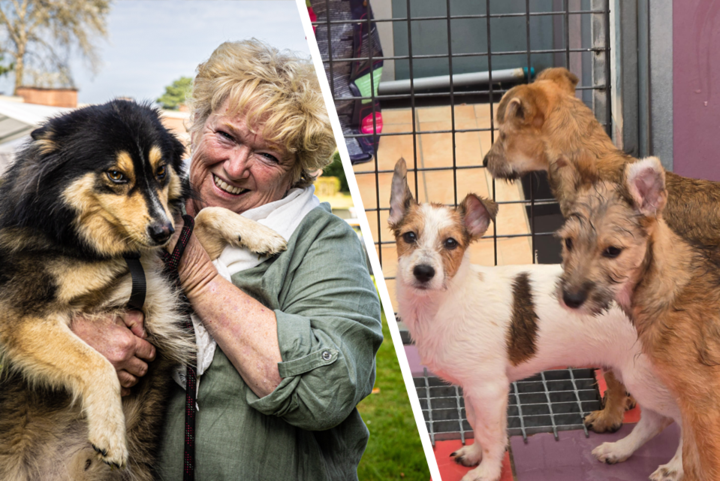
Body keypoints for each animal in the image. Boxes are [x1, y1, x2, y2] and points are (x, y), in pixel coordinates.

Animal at [0, 99, 286, 478]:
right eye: (115, 175)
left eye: (161, 171)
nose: (164, 232)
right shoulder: (18, 317)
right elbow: (97, 362)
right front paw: (111, 434)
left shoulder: (169, 264)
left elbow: (207, 212)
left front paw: (259, 234)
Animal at [556, 156, 720, 478]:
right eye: (568, 242)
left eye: (612, 251)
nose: (570, 298)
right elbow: (693, 456)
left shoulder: (704, 401)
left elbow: (704, 464)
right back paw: (620, 449)